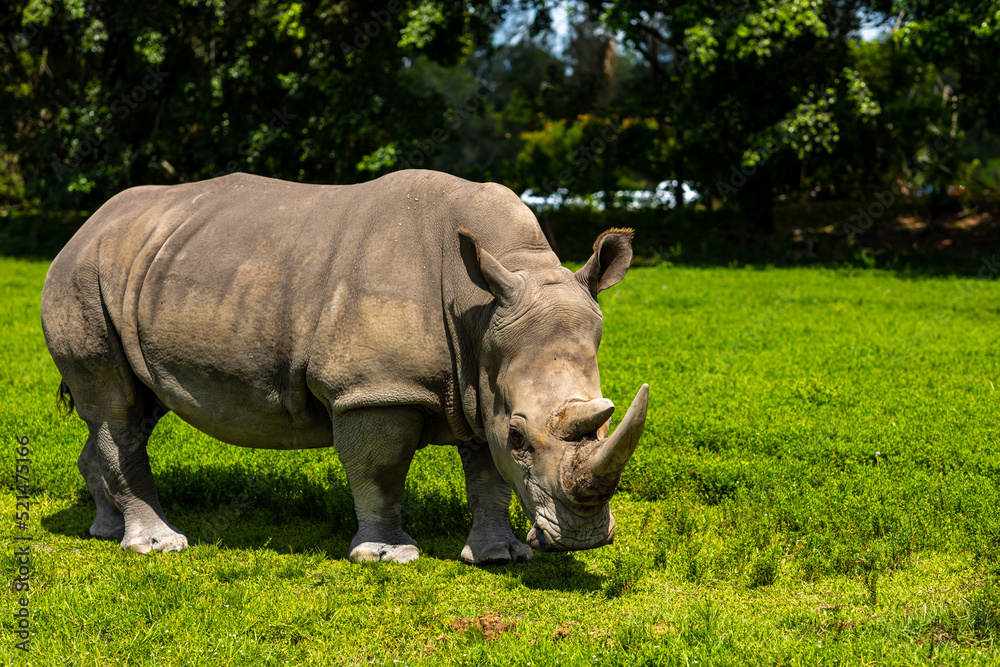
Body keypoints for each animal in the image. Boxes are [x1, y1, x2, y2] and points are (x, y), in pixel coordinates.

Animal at [41, 169, 649, 564]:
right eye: (521, 437)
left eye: (609, 417)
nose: (586, 538)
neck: (479, 308)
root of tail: (85, 225)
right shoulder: (373, 389)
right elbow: (380, 468)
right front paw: (386, 556)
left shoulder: (480, 384)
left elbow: (487, 473)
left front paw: (502, 555)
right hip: (80, 277)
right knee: (116, 409)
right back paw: (158, 546)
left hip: (140, 268)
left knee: (130, 409)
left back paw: (103, 531)